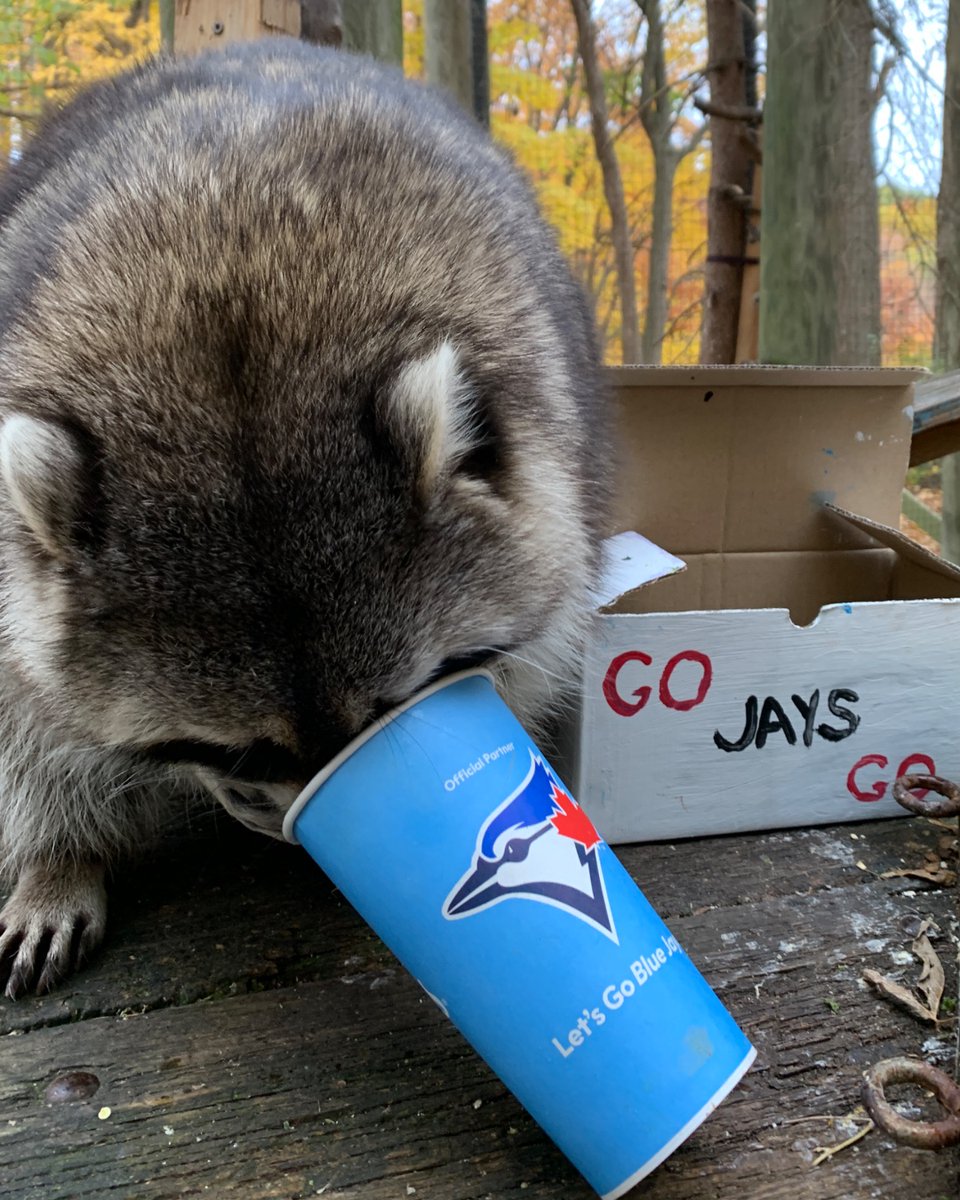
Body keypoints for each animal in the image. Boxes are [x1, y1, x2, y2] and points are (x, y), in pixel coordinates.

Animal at [0, 39, 609, 998]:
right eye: (239, 753)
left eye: (398, 710)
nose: (300, 844)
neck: (232, 270)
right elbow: (20, 716)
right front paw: (58, 854)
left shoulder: (556, 473)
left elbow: (534, 649)